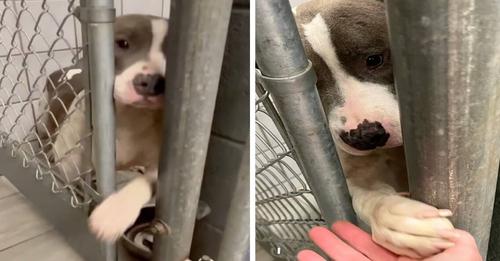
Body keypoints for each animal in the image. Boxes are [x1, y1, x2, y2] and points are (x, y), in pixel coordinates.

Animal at [37, 14, 169, 241]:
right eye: (122, 43)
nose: (152, 82)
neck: (131, 119)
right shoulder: (72, 169)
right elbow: (78, 188)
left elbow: (145, 182)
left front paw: (115, 212)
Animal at [292, 0, 460, 256]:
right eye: (315, 83)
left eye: (374, 59)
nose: (364, 135)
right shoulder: (359, 172)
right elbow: (365, 196)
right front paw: (399, 221)